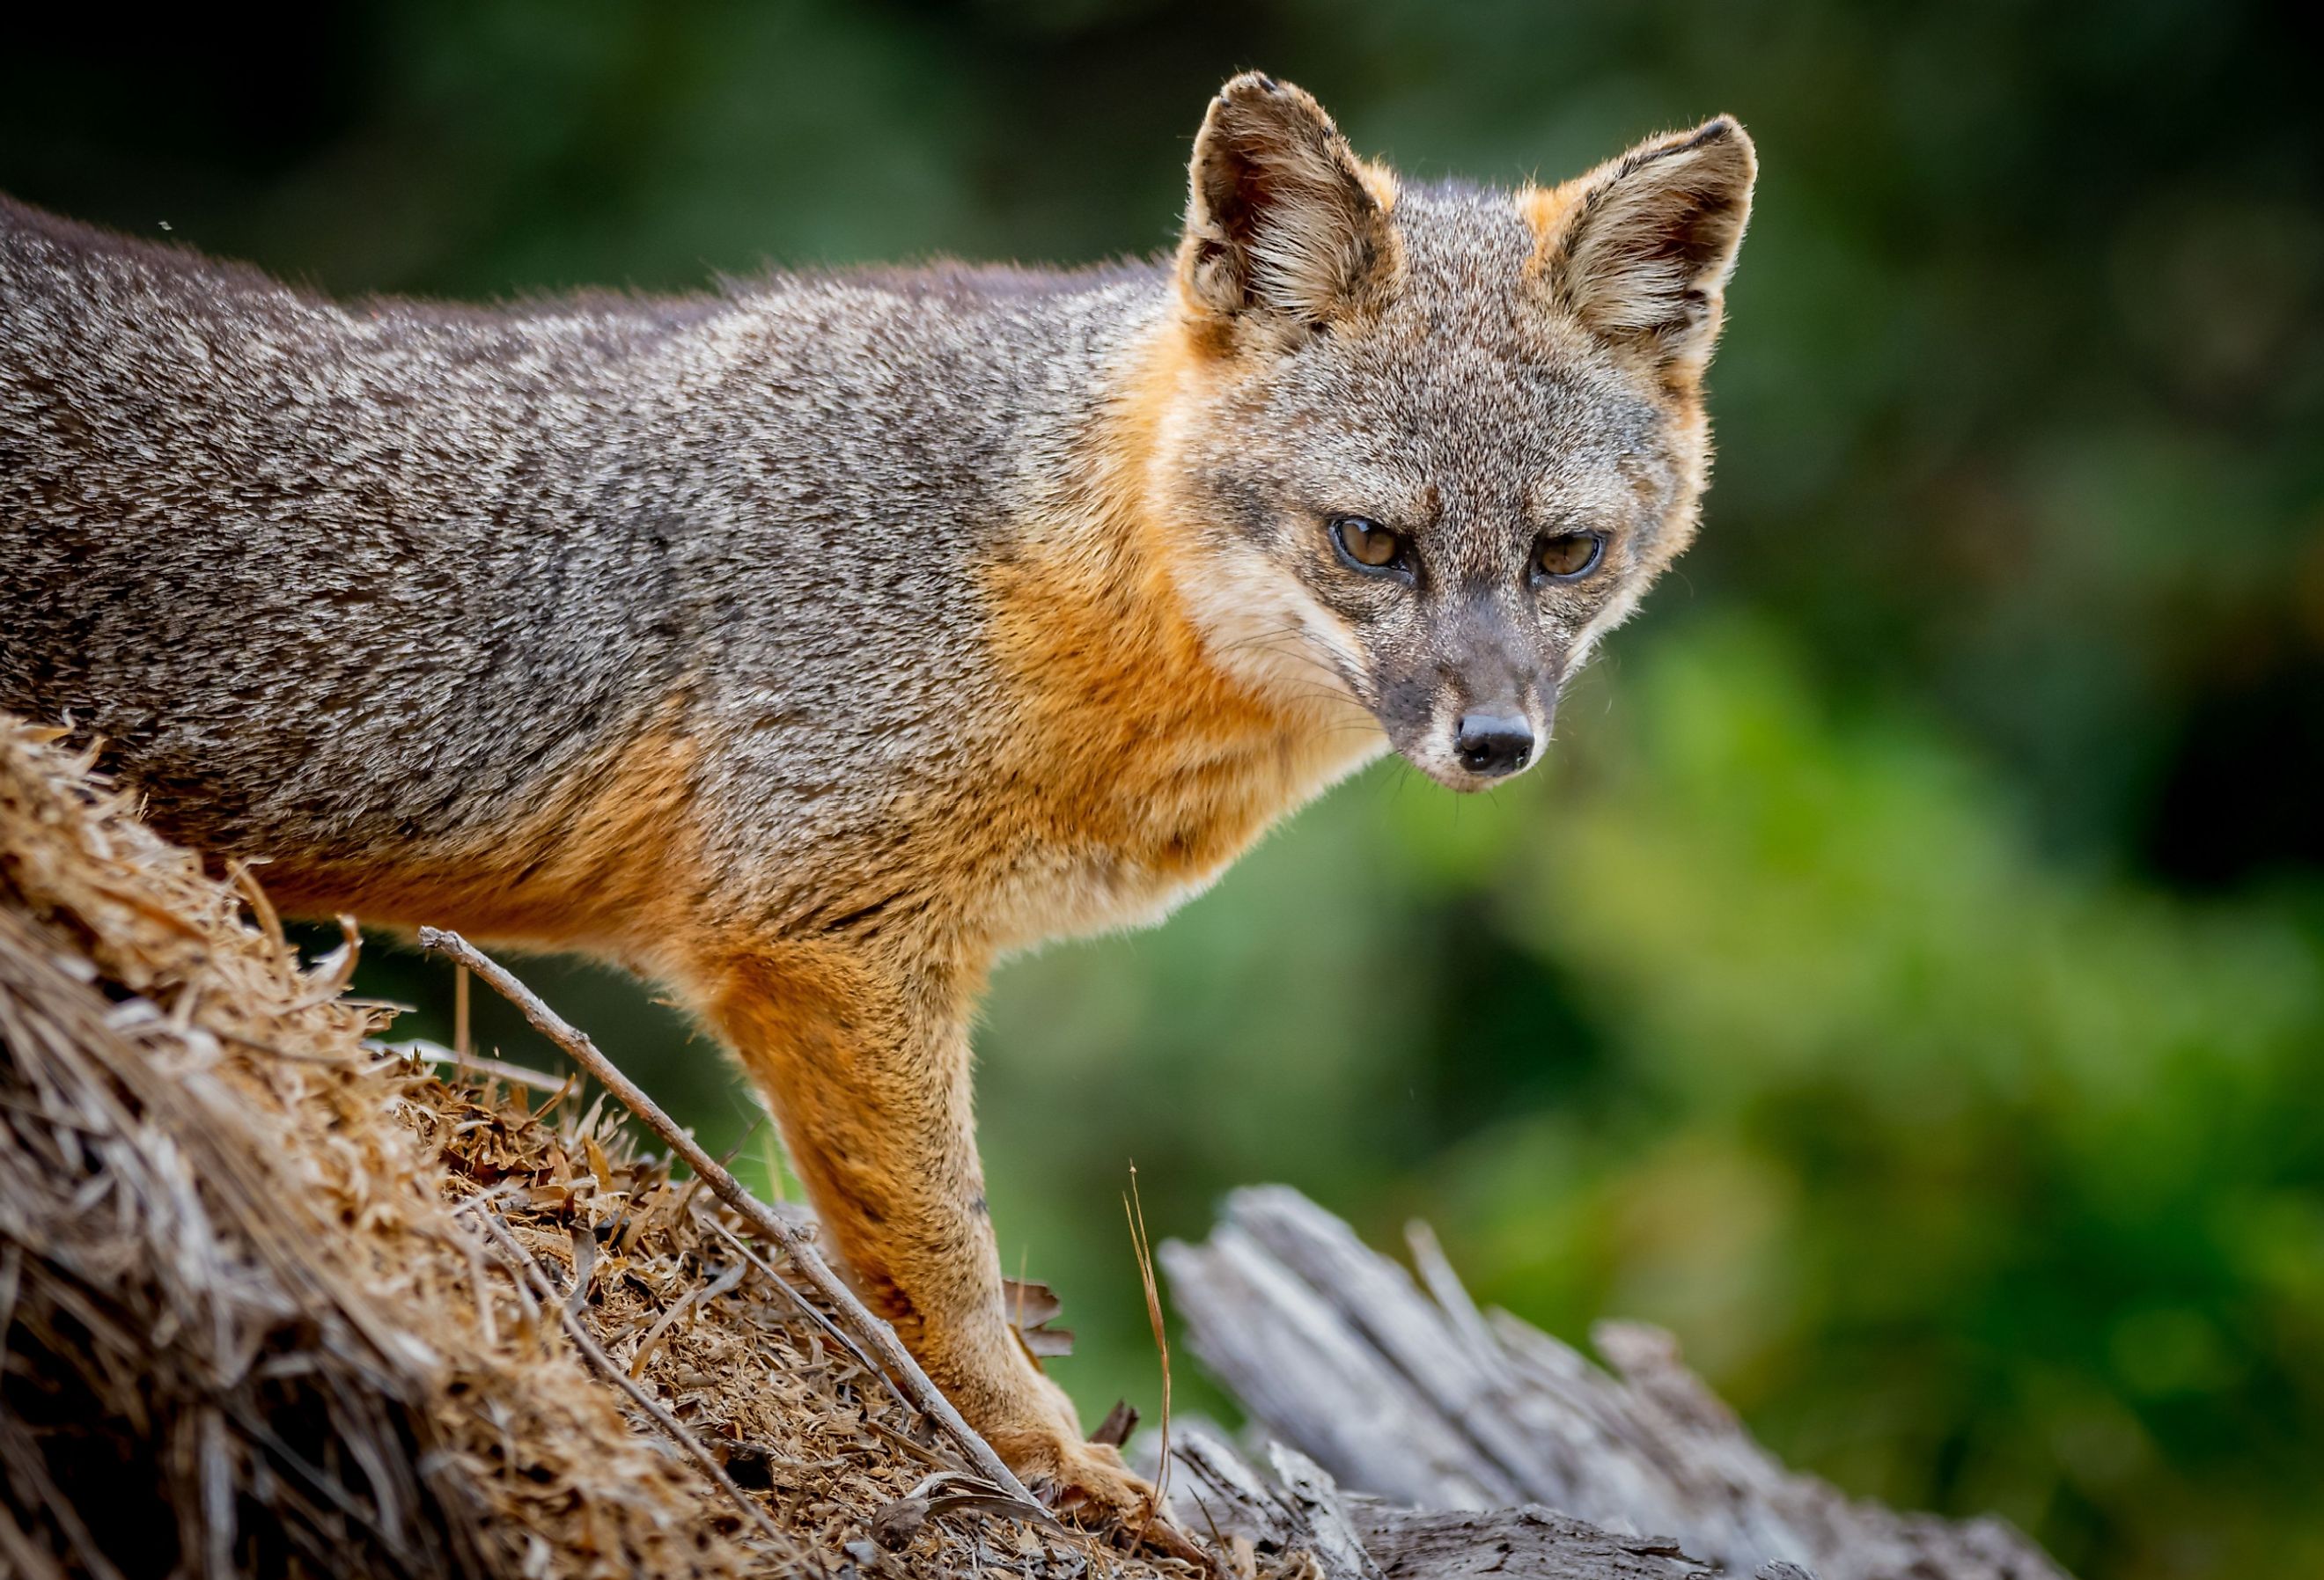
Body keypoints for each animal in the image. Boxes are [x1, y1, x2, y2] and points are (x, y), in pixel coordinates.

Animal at [0, 70, 1747, 1515]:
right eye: (1371, 542)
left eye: (1565, 553)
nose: (1496, 742)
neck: (1053, 563)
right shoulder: (824, 931)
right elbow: (939, 1244)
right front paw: (1033, 1446)